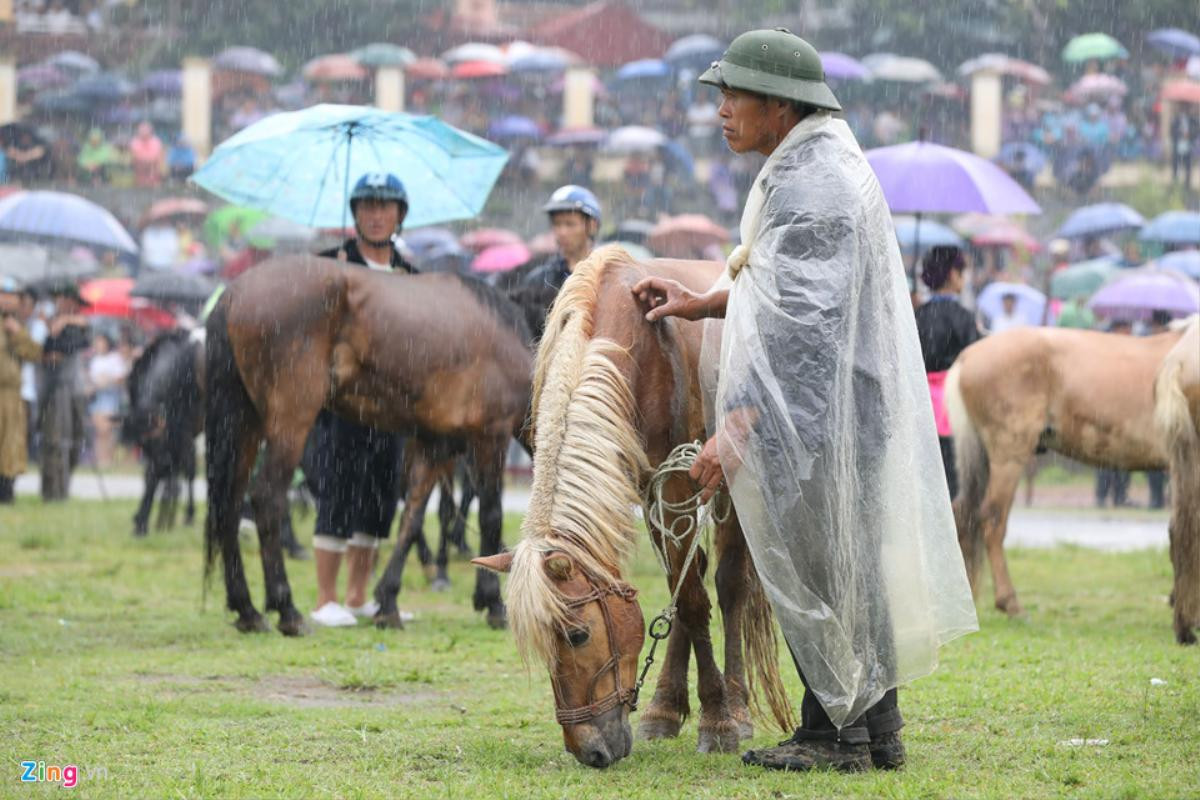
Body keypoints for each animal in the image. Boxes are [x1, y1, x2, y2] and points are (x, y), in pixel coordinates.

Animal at [122, 328, 204, 542]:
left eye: (159, 435)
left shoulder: (184, 430)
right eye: (141, 443)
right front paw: (142, 520)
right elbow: (151, 475)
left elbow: (187, 470)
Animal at [206, 253, 530, 633]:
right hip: (290, 421)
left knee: (228, 504)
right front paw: (493, 603)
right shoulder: (490, 437)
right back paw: (287, 610)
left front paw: (388, 602)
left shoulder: (435, 446)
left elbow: (412, 520)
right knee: (267, 497)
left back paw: (247, 610)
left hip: (244, 425)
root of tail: (232, 295)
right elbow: (491, 515)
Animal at [472, 245, 792, 767]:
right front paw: (671, 710)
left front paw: (719, 721)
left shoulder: (680, 481)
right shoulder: (653, 492)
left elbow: (696, 601)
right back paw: (664, 708)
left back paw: (738, 705)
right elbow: (684, 594)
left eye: (577, 635)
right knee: (693, 577)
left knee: (729, 586)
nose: (590, 752)